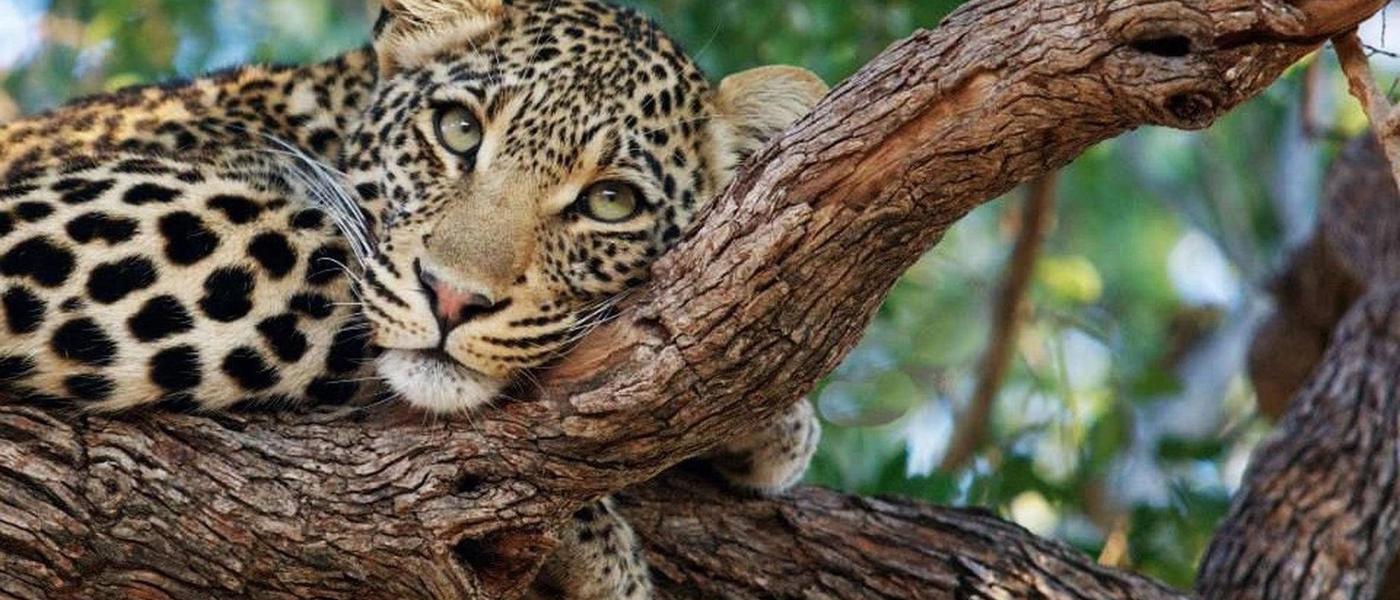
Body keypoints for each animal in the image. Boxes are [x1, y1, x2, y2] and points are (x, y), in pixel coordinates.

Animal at [0, 0, 827, 597]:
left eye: (611, 202)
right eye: (458, 130)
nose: (453, 299)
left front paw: (767, 417)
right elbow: (339, 267)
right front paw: (596, 543)